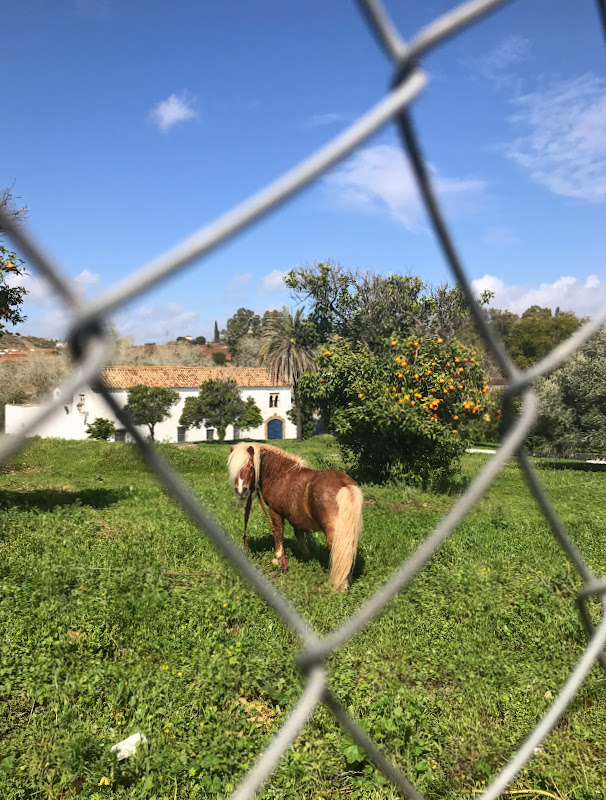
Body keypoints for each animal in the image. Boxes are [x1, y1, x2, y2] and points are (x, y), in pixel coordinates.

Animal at [227, 440, 360, 592]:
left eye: (251, 467)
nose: (241, 491)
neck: (280, 473)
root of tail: (344, 485)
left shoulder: (275, 512)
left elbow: (278, 534)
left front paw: (277, 559)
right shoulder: (297, 516)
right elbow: (299, 534)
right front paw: (305, 555)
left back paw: (340, 585)